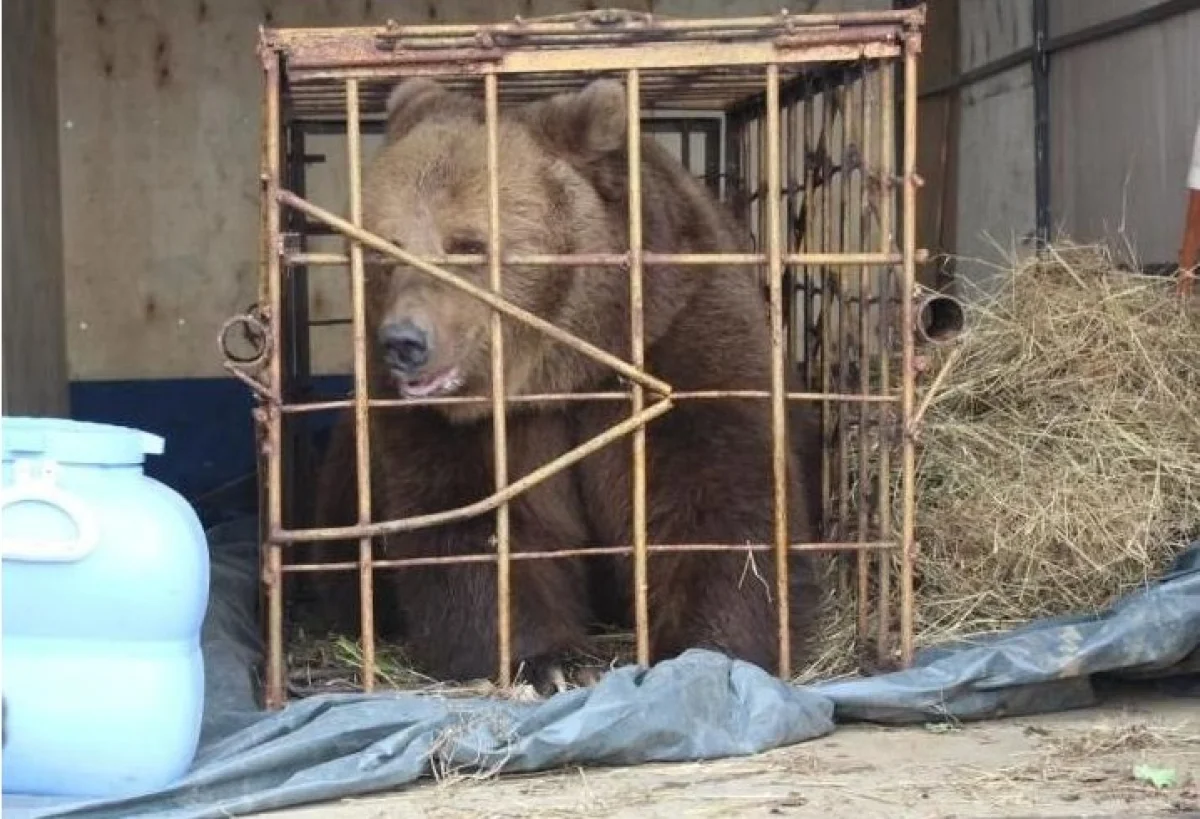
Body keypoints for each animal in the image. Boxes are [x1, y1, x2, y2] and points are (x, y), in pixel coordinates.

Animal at [295, 76, 830, 686]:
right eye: (384, 249)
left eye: (468, 245)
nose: (405, 341)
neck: (563, 367)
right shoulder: (462, 426)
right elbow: (475, 521)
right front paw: (545, 661)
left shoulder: (678, 342)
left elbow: (713, 498)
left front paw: (708, 648)